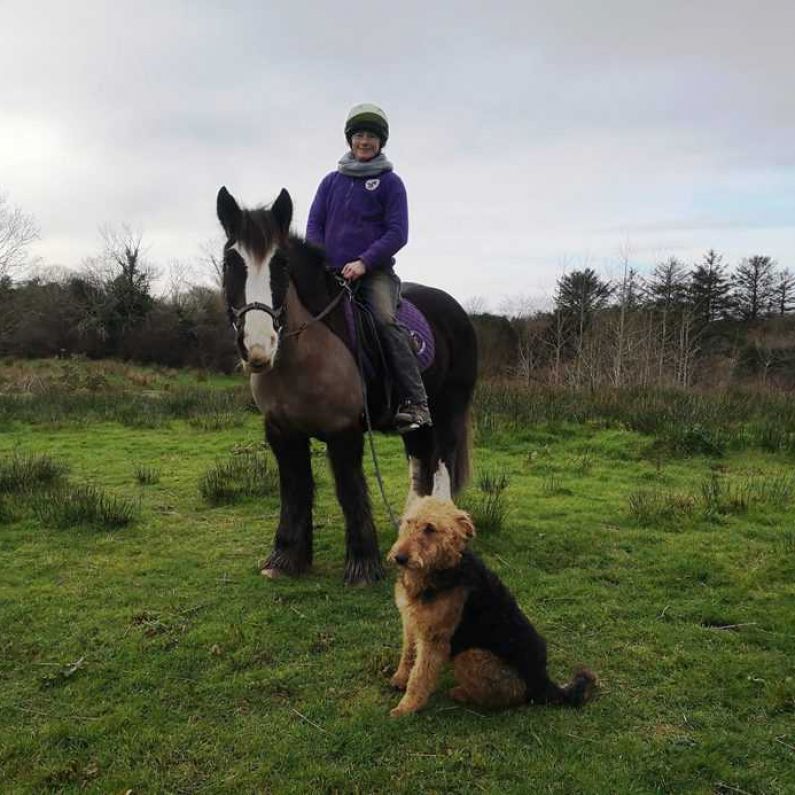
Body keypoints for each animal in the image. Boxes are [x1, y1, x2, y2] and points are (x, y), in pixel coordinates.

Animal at [218, 187, 476, 584]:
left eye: (281, 265)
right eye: (230, 262)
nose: (258, 347)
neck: (306, 352)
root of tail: (455, 310)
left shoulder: (344, 431)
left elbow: (350, 490)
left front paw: (362, 566)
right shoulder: (282, 432)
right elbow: (294, 490)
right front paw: (286, 558)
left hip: (450, 406)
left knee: (442, 461)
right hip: (416, 419)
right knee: (420, 458)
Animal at [386, 498, 596, 716]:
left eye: (430, 528)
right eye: (408, 522)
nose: (399, 558)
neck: (442, 568)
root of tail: (543, 683)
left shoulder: (434, 639)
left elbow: (419, 675)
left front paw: (406, 707)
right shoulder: (411, 622)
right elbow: (408, 654)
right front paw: (400, 679)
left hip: (471, 655)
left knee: (507, 699)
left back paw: (460, 693)